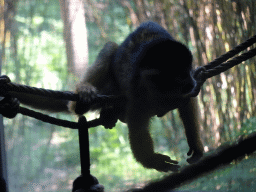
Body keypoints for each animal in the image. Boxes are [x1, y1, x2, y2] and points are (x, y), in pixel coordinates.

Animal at [1, 21, 203, 172]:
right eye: (182, 77)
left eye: (188, 72)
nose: (192, 82)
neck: (161, 91)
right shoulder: (138, 92)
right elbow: (138, 130)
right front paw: (152, 160)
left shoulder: (179, 94)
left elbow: (187, 104)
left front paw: (196, 145)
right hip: (109, 87)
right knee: (110, 48)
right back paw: (84, 99)